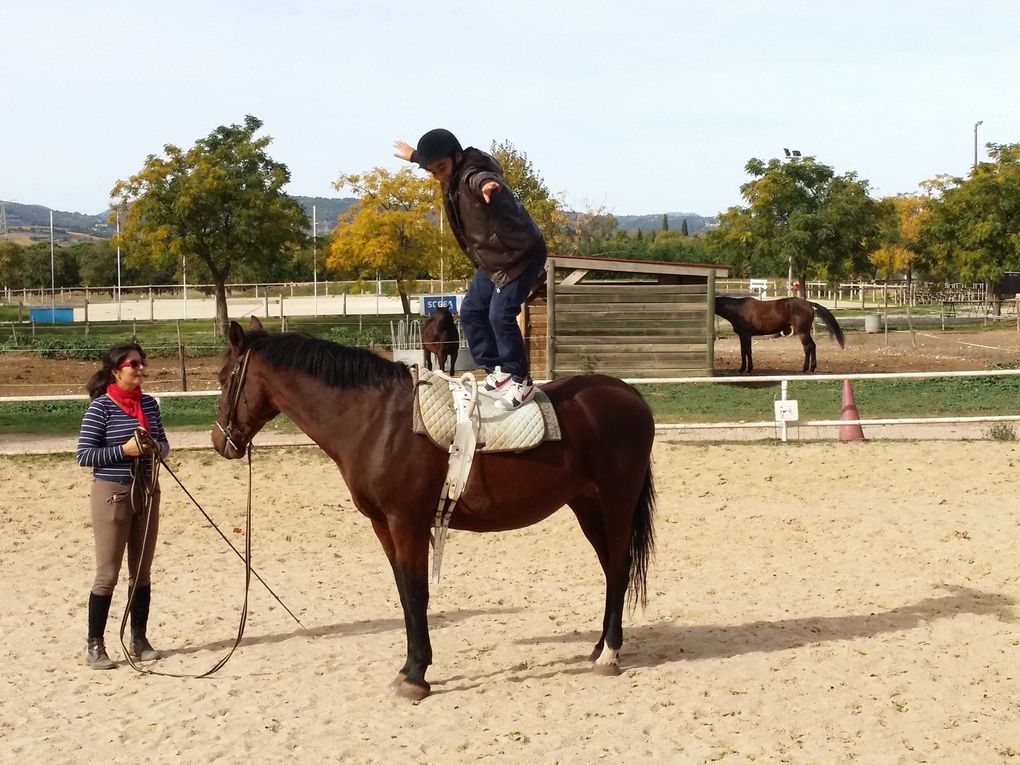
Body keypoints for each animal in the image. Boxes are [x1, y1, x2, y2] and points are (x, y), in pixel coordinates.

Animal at [212, 316, 656, 701]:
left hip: (616, 502)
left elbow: (416, 593)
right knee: (610, 571)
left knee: (619, 569)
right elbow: (404, 594)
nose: (220, 442)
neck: (375, 421)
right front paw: (409, 668)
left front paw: (416, 675)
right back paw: (598, 647)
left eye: (223, 377)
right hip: (587, 507)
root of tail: (630, 394)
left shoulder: (406, 522)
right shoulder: (383, 526)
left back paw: (609, 654)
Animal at [714, 295, 848, 375]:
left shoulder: (745, 335)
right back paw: (811, 368)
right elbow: (746, 351)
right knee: (813, 346)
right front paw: (747, 368)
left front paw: (745, 369)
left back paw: (806, 369)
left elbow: (745, 351)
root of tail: (809, 303)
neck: (739, 309)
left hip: (802, 332)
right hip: (805, 332)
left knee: (808, 347)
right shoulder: (745, 336)